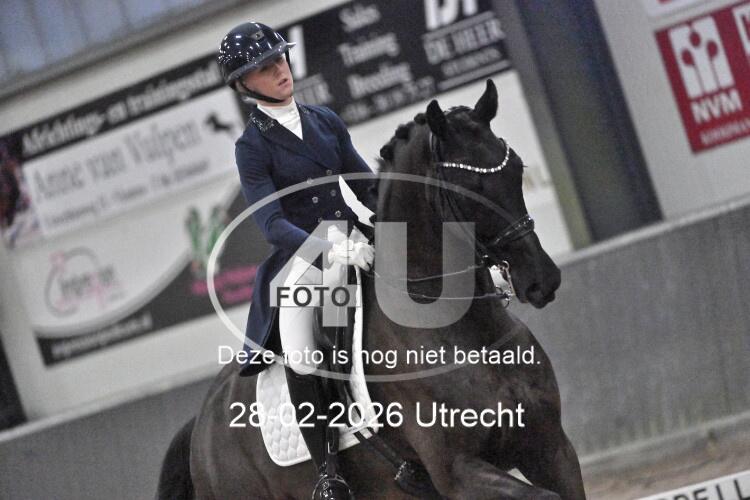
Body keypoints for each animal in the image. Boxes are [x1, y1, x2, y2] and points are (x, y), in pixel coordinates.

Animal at [157, 79, 586, 499]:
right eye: (469, 187)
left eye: (516, 169)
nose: (542, 279)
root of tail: (202, 424)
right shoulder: (459, 473)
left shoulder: (552, 448)